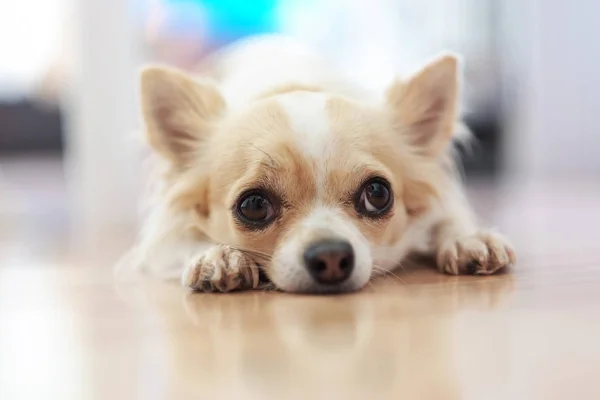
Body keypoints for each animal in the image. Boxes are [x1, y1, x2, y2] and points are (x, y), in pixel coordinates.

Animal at [123, 36, 516, 294]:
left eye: (377, 194)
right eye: (254, 205)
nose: (330, 257)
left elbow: (447, 216)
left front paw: (467, 239)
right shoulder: (162, 234)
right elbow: (182, 239)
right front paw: (216, 255)